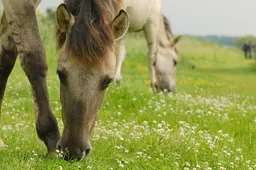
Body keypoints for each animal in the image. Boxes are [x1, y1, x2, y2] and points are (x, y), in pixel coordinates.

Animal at [0, 0, 128, 161]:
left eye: (107, 81)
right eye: (60, 74)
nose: (74, 151)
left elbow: (6, 55)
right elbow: (34, 56)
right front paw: (50, 138)